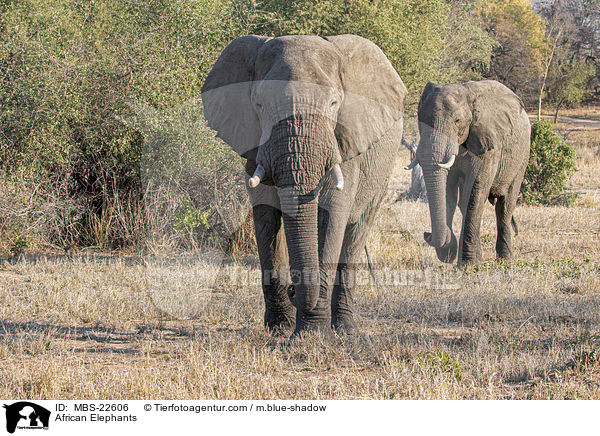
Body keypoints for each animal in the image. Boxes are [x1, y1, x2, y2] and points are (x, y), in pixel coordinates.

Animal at [203, 35, 408, 334]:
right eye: (259, 105)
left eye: (334, 103)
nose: (293, 289)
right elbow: (266, 218)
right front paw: (280, 329)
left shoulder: (343, 143)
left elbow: (331, 214)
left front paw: (311, 333)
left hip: (383, 169)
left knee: (357, 232)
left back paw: (345, 328)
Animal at [408, 80, 528, 268]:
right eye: (421, 120)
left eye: (457, 121)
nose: (428, 235)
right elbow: (449, 190)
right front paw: (449, 252)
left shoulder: (489, 144)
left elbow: (475, 194)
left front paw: (467, 265)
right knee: (464, 203)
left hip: (522, 156)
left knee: (505, 205)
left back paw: (506, 261)